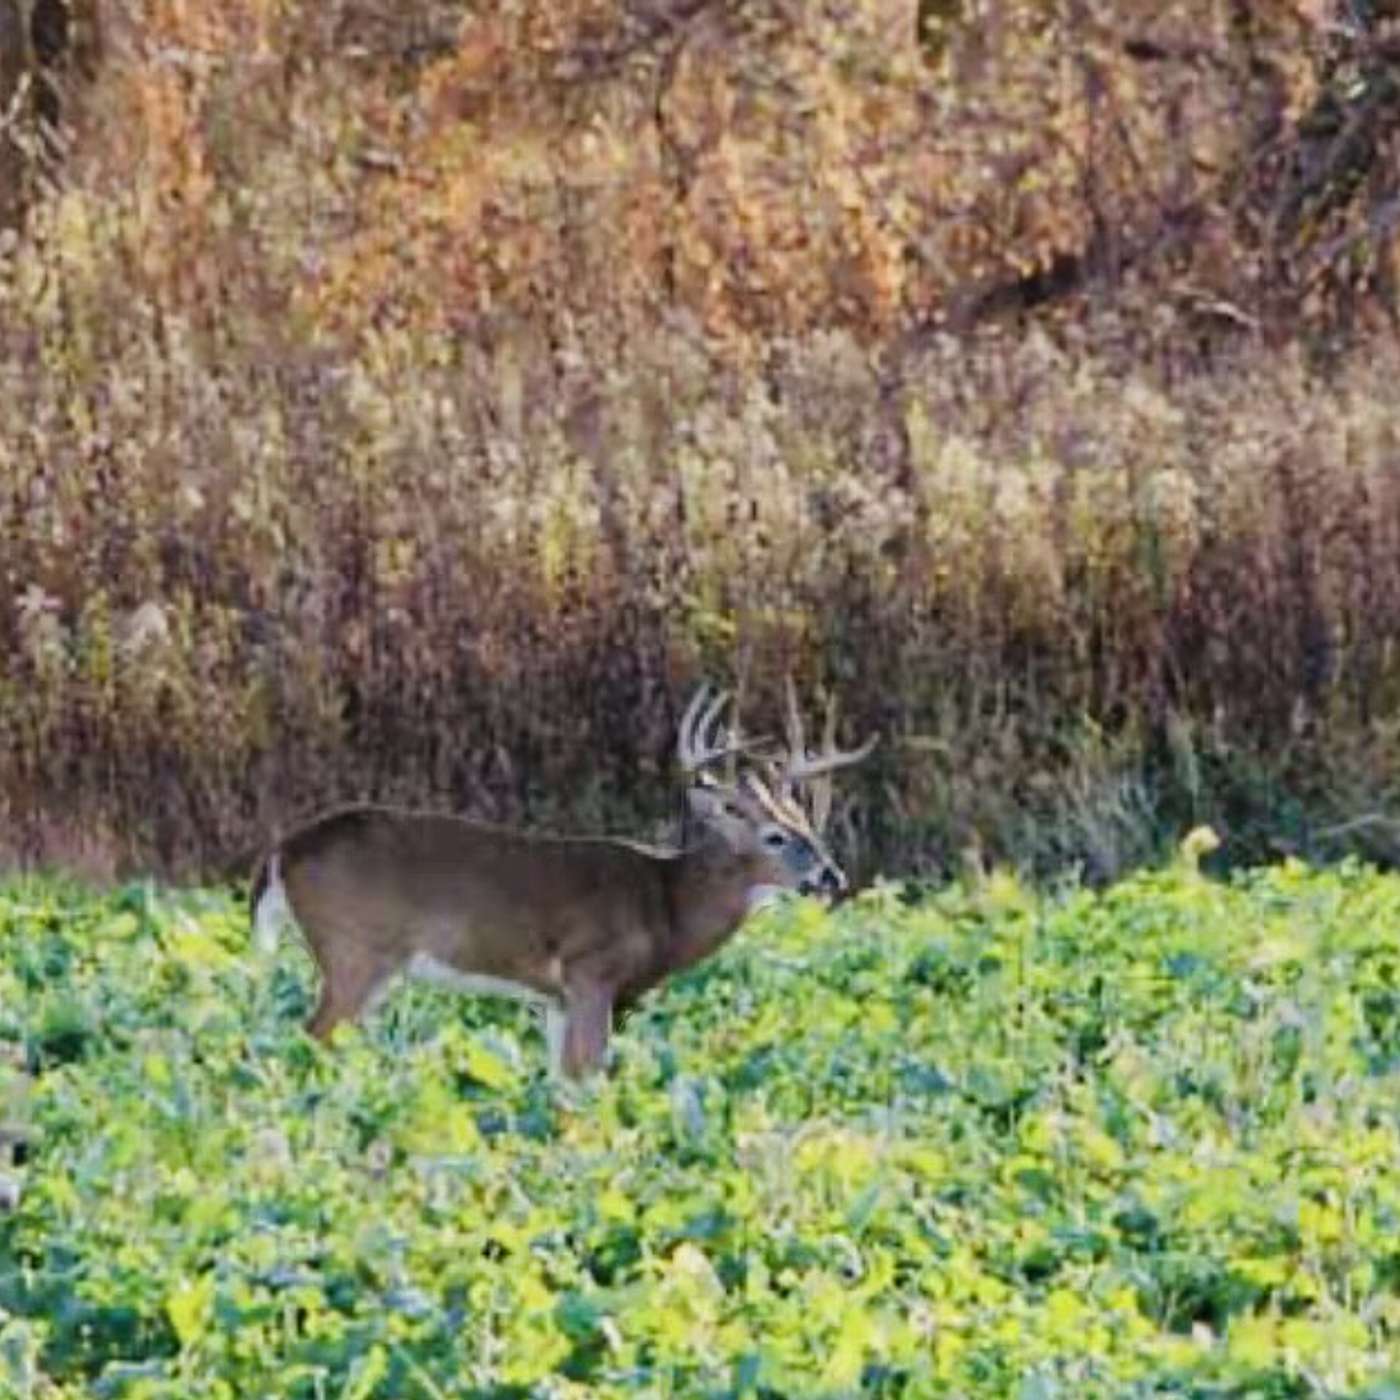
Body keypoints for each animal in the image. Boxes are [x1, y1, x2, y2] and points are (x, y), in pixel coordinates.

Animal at [249, 681, 876, 1079]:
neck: (666, 904)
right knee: (313, 1034)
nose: (831, 875)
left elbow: (561, 1083)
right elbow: (589, 1075)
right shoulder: (590, 972)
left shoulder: (554, 999)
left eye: (807, 824)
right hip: (355, 951)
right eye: (775, 836)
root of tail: (282, 852)